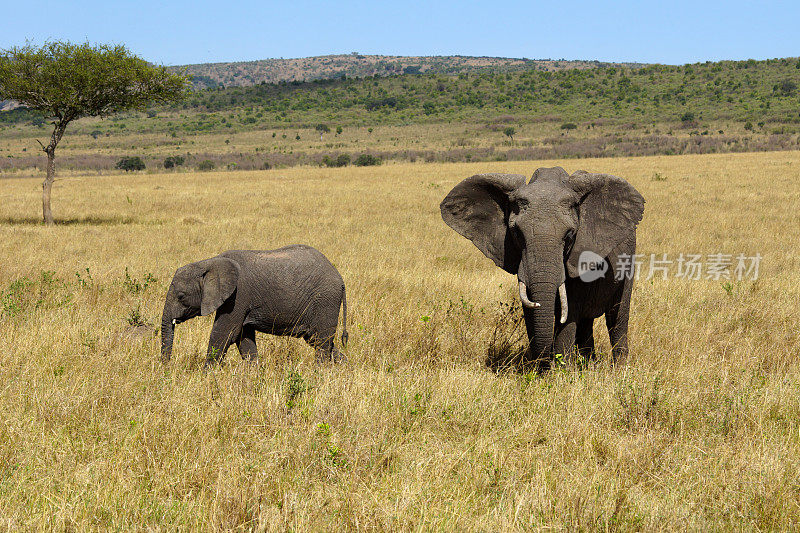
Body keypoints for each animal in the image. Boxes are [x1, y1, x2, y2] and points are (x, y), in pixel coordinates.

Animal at [161, 244, 348, 366]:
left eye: (181, 296)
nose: (166, 369)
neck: (210, 262)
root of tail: (340, 279)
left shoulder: (238, 295)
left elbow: (225, 333)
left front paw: (208, 376)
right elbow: (243, 337)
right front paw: (254, 373)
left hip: (325, 301)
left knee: (322, 342)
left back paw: (320, 372)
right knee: (318, 340)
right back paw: (343, 367)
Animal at [438, 166, 644, 370]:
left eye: (569, 235)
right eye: (516, 233)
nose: (546, 363)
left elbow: (569, 312)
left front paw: (562, 373)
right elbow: (530, 310)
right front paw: (540, 371)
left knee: (617, 317)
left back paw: (618, 369)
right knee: (587, 324)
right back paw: (588, 365)